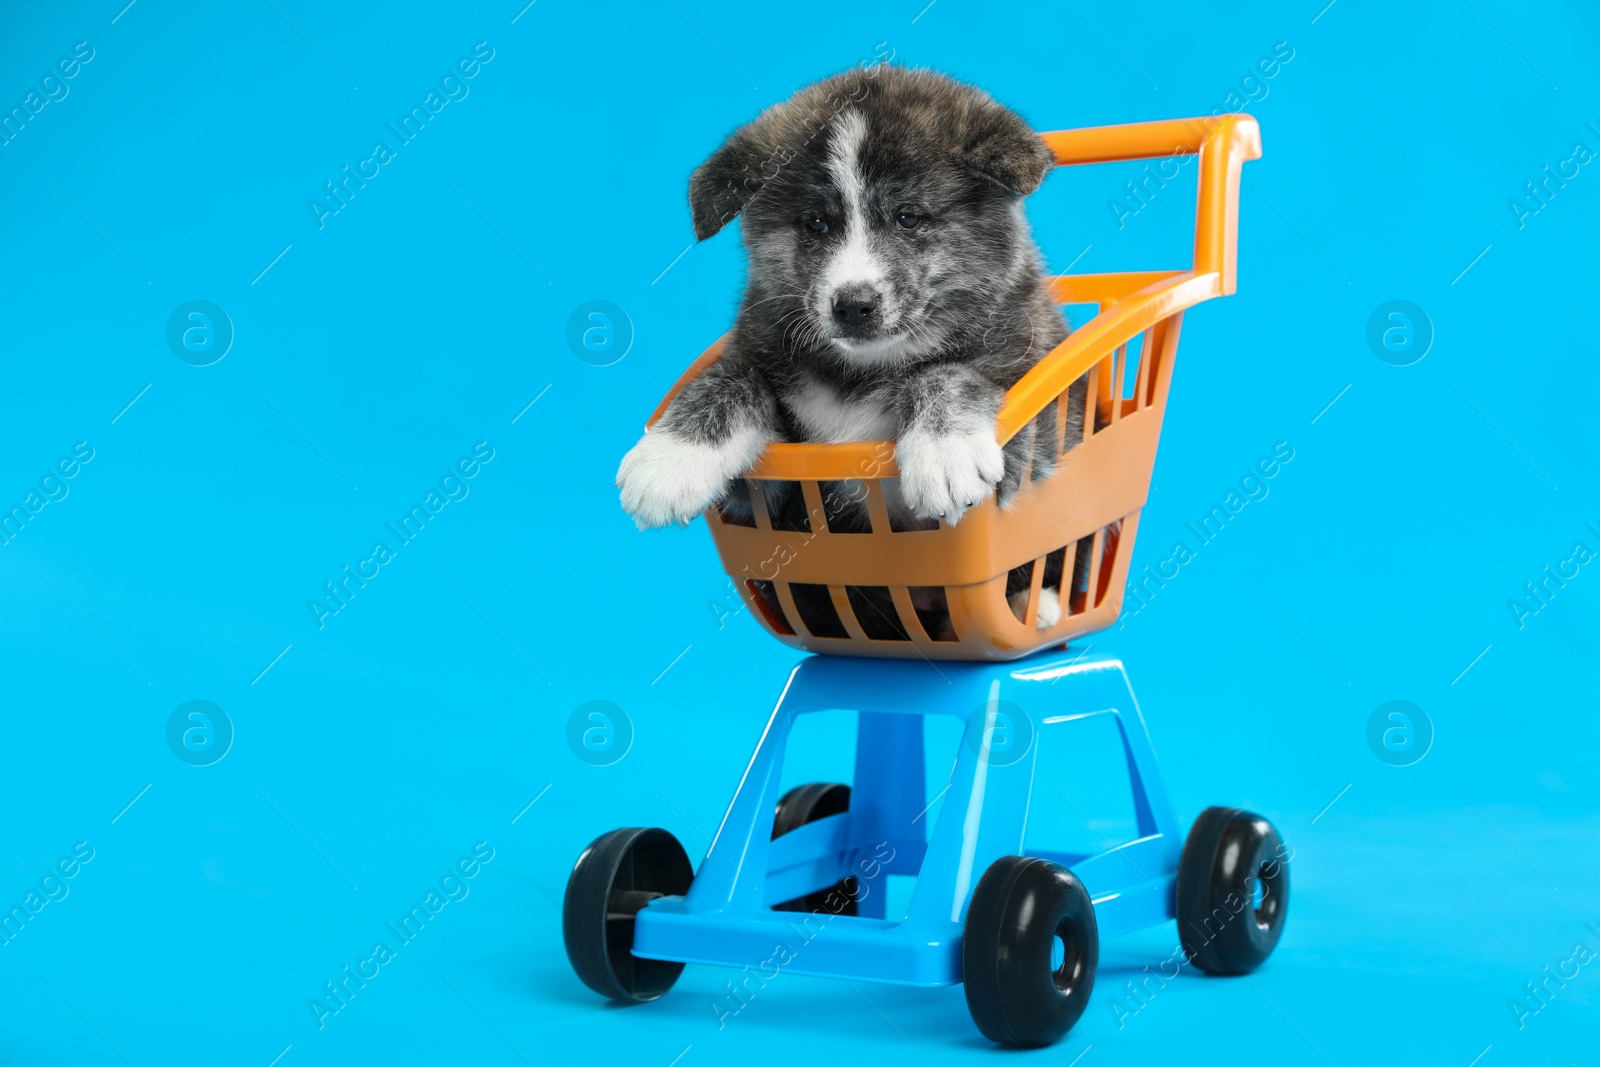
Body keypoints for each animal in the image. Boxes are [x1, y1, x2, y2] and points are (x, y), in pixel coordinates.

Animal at [617, 66, 1081, 630]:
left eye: (908, 217)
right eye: (816, 222)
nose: (853, 305)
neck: (862, 373)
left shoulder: (1034, 438)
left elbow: (948, 372)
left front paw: (943, 450)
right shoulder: (774, 500)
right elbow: (734, 376)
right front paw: (671, 457)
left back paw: (1034, 605)